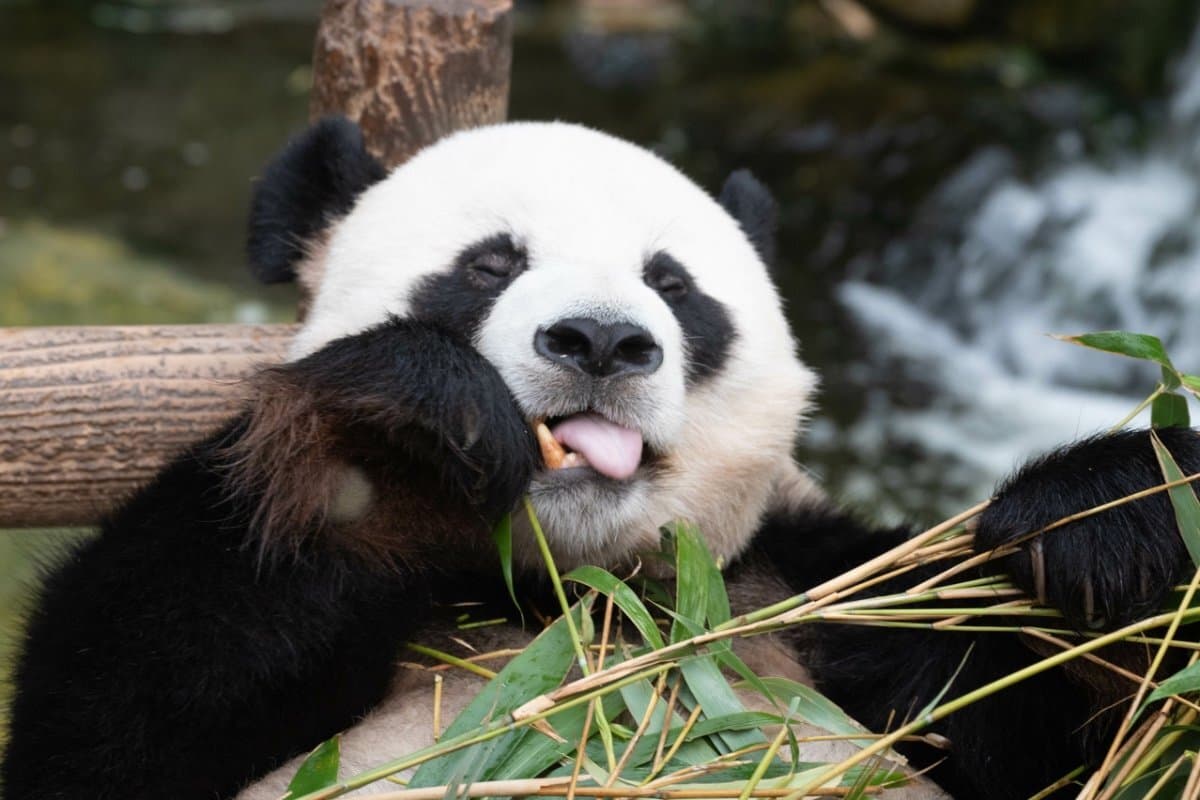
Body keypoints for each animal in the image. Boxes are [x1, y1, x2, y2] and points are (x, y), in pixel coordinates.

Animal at [3, 117, 1198, 800]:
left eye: (673, 284)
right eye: (489, 263)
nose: (601, 341)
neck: (571, 599)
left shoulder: (811, 599)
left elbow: (1079, 732)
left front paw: (1119, 513)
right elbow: (108, 718)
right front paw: (396, 449)